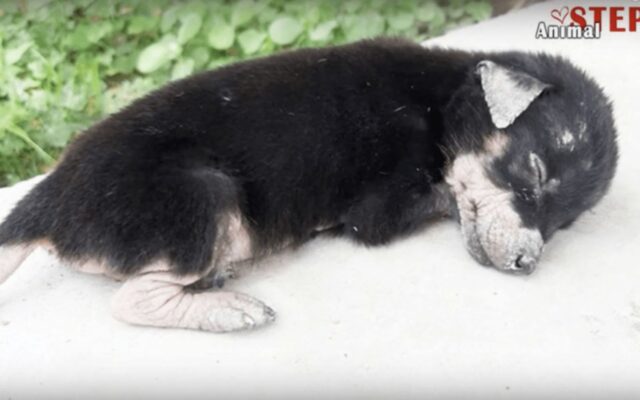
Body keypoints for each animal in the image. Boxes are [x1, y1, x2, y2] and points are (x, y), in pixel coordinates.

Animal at [1, 38, 620, 332]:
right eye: (534, 173)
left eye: (566, 223)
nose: (526, 264)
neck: (440, 101)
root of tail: (44, 205)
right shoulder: (379, 209)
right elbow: (441, 193)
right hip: (203, 196)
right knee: (131, 298)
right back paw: (231, 309)